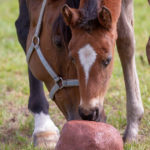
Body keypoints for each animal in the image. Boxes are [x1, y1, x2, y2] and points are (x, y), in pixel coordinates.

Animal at [15, 0, 144, 148]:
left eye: (108, 60)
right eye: (72, 58)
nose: (88, 115)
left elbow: (126, 40)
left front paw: (132, 127)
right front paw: (44, 129)